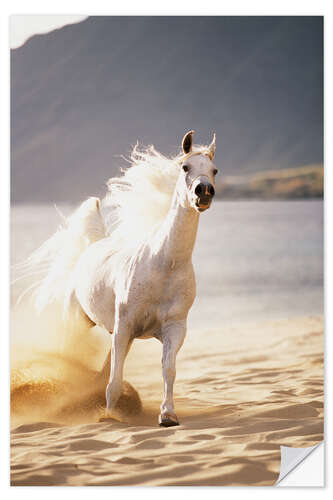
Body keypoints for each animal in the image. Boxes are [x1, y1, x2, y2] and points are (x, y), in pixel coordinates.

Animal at [21, 131, 218, 428]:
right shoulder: (124, 325)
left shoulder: (173, 328)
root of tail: (93, 245)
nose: (203, 192)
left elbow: (168, 369)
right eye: (185, 167)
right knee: (75, 354)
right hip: (82, 321)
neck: (163, 265)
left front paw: (168, 415)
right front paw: (110, 416)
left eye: (214, 170)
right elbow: (115, 377)